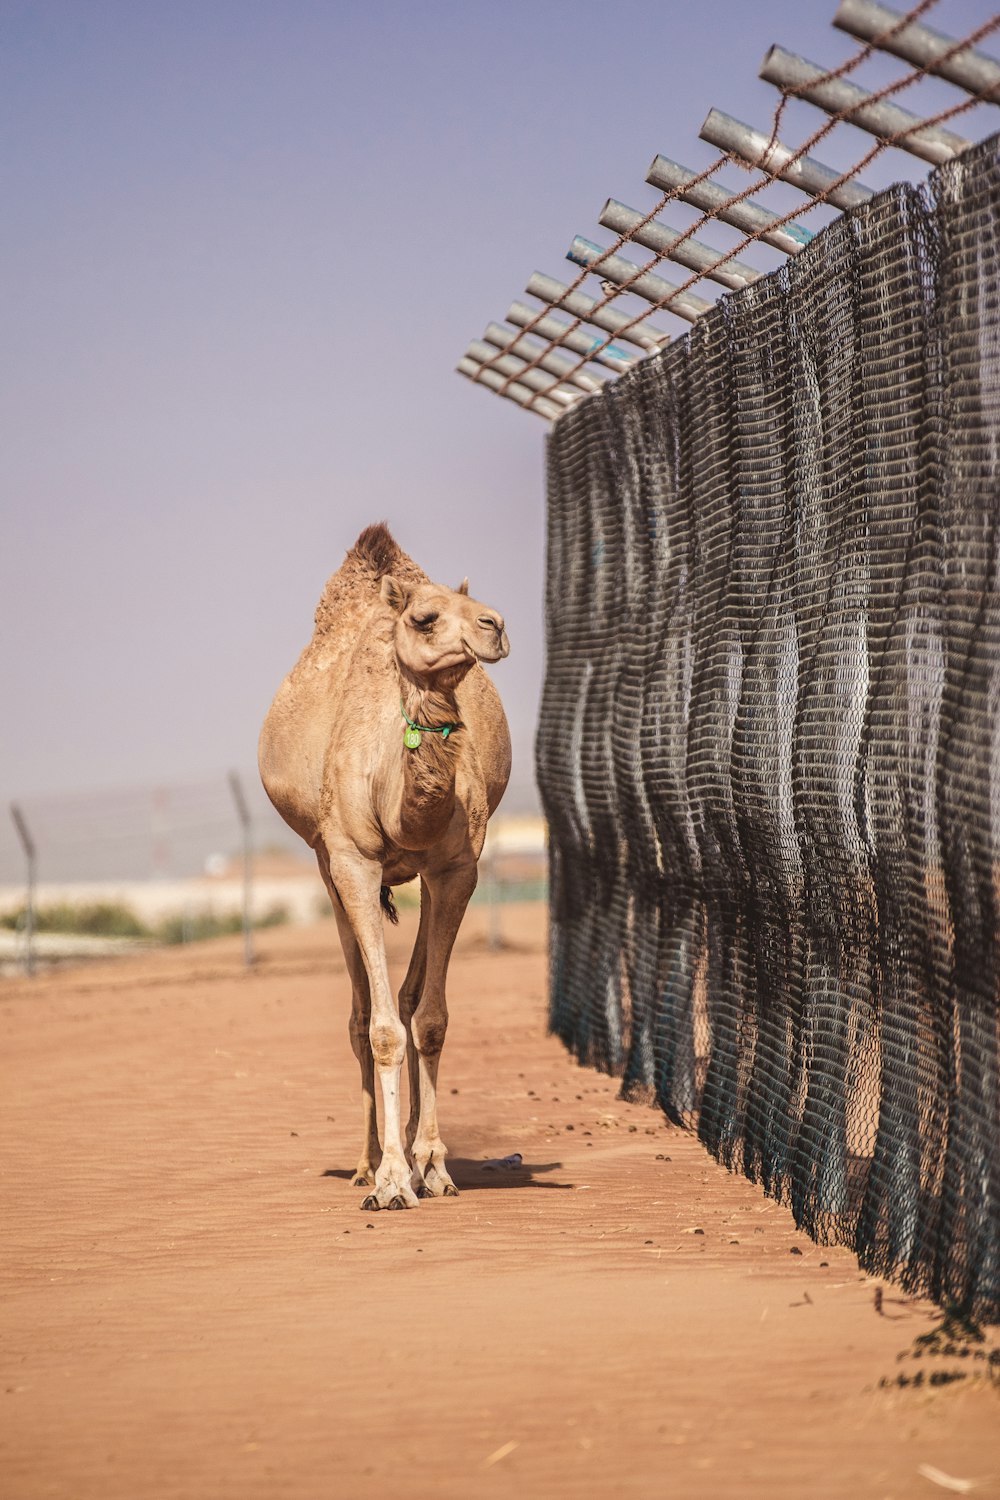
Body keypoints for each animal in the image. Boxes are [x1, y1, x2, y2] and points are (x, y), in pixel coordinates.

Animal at [260, 525, 509, 1206]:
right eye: (425, 619)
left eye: (471, 604)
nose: (496, 625)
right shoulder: (351, 861)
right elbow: (381, 1031)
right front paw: (392, 1178)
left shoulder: (457, 867)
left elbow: (430, 1021)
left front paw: (433, 1166)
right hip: (326, 866)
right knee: (358, 1017)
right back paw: (366, 1163)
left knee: (408, 995)